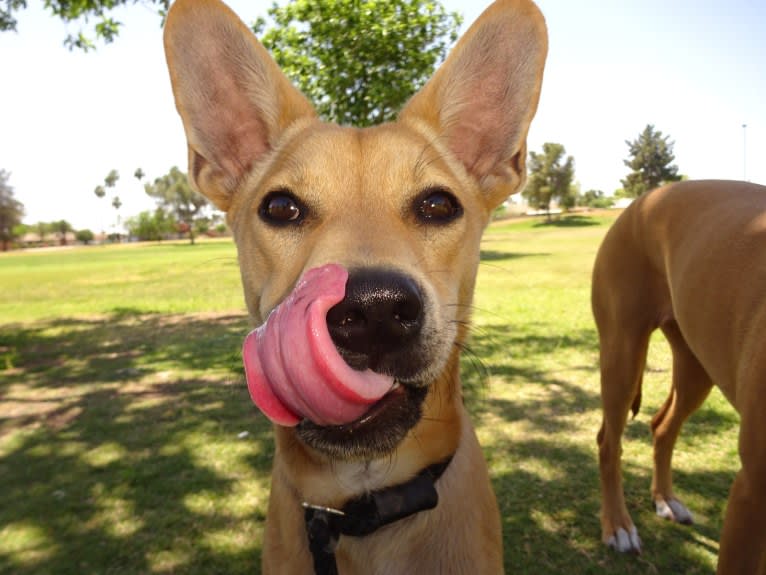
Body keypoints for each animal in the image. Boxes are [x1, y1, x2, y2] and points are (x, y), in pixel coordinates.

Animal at [592, 181, 766, 575]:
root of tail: (647, 197)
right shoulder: (751, 493)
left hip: (695, 368)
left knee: (662, 426)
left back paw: (666, 499)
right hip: (622, 355)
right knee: (609, 443)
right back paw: (618, 526)